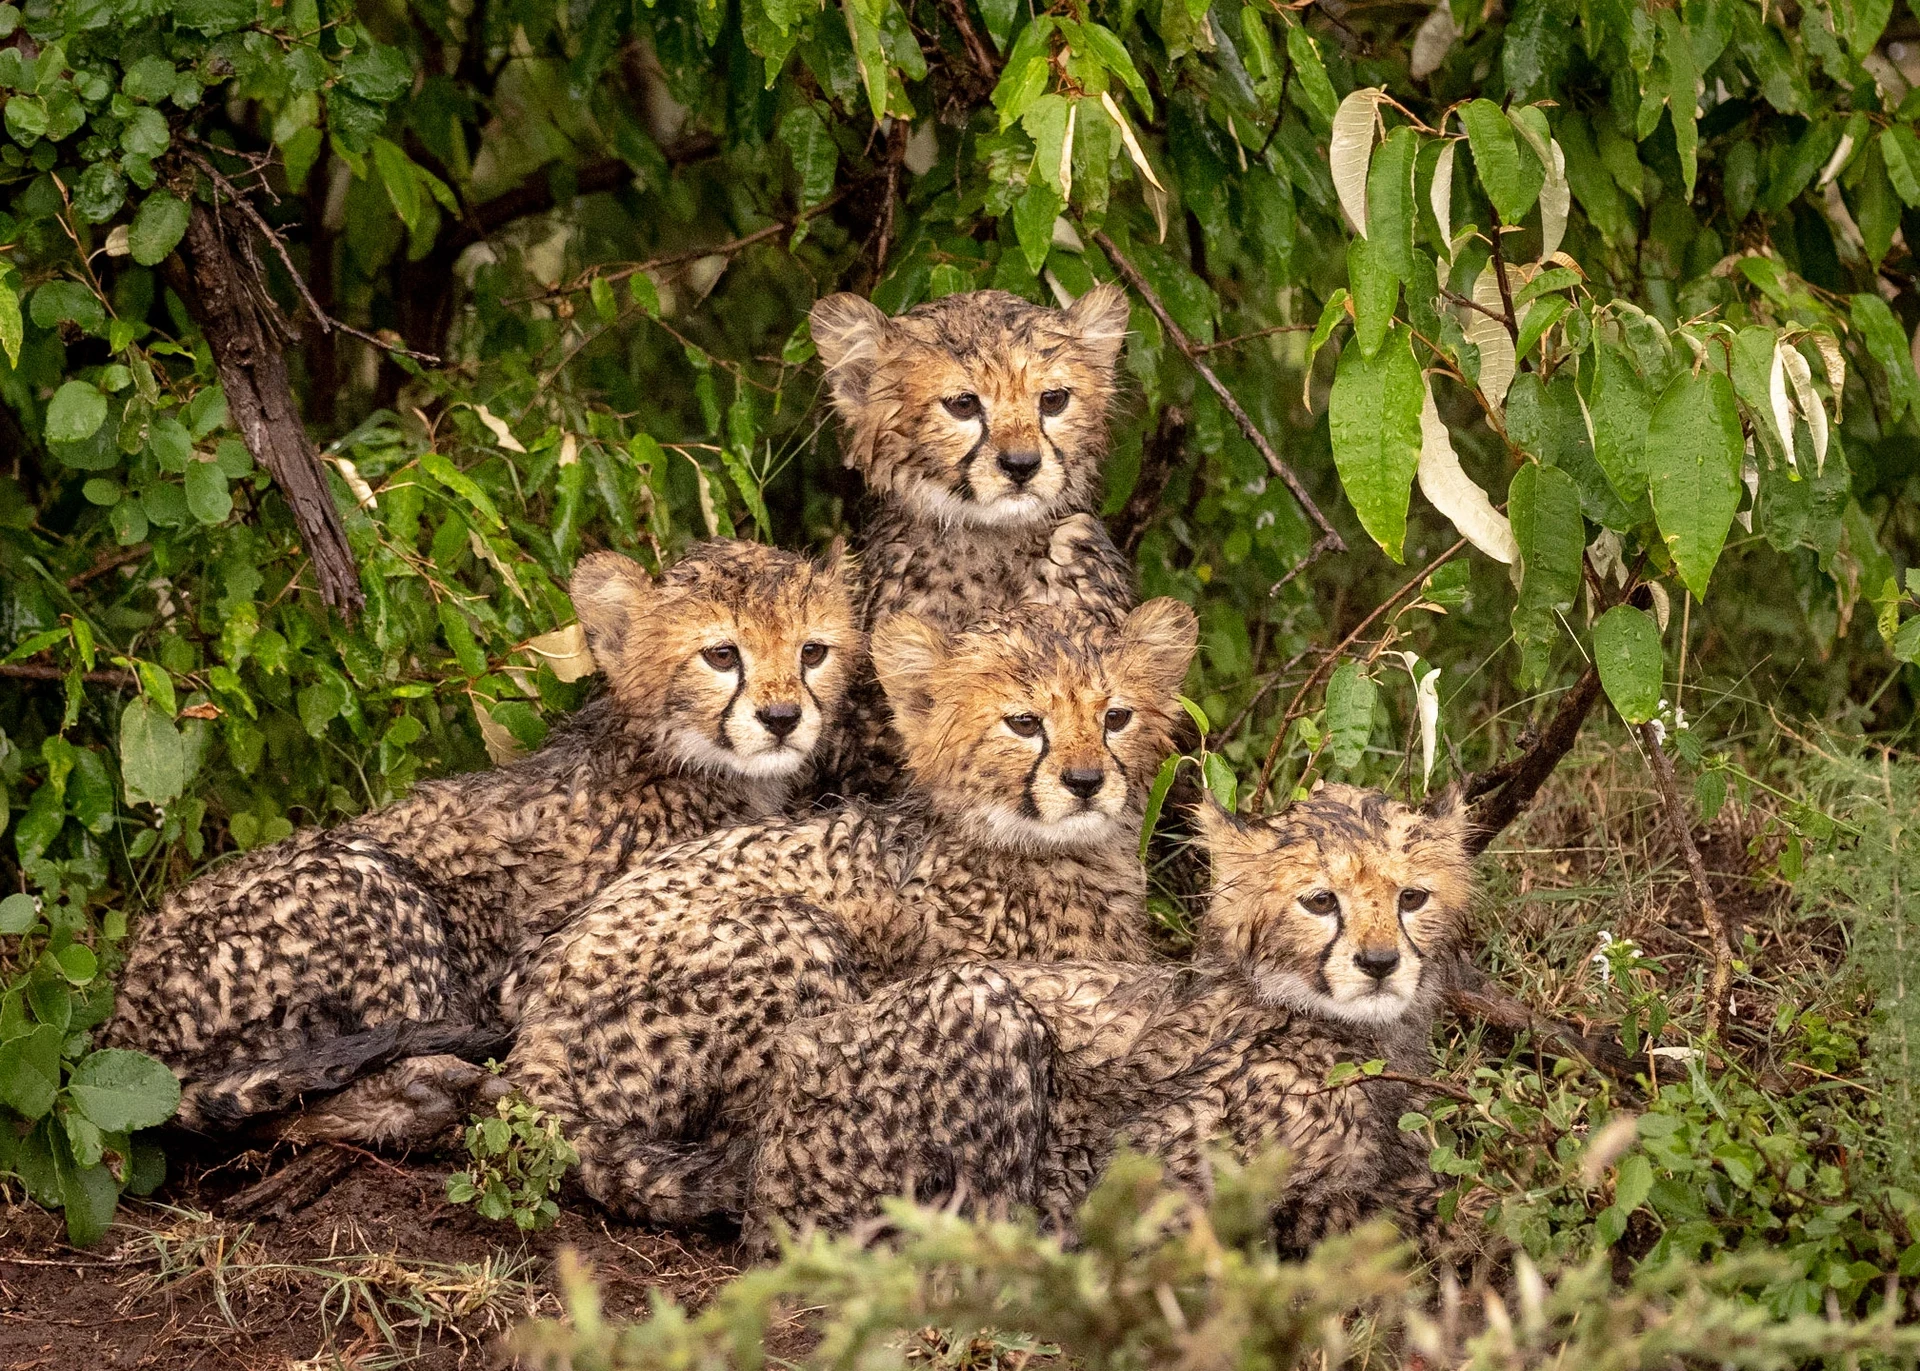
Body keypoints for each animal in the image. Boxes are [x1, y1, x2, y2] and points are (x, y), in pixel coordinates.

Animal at [104, 539, 862, 1140]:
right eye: (722, 654)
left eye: (812, 652)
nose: (782, 717)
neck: (679, 757)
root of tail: (127, 1016)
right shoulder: (532, 967)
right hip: (372, 884)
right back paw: (425, 1092)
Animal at [501, 595, 1200, 1226]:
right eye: (1025, 724)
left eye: (1116, 717)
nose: (1085, 782)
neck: (1040, 850)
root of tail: (537, 1033)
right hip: (793, 934)